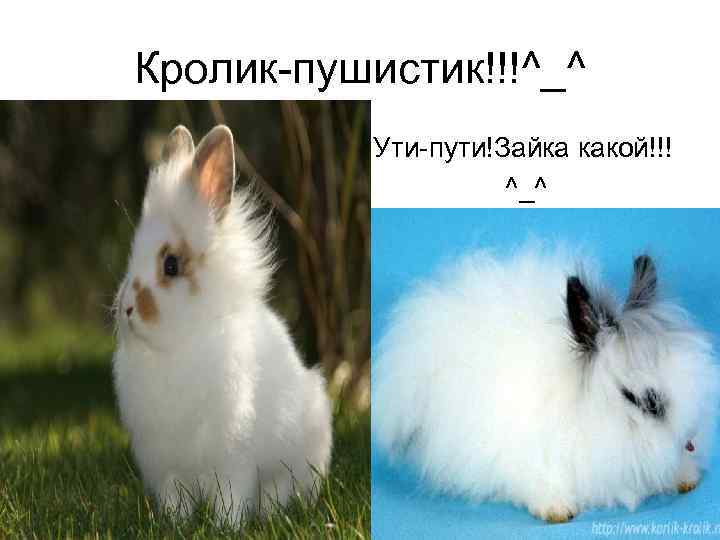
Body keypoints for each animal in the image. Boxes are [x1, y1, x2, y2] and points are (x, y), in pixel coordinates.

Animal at [112, 124, 333, 522]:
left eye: (171, 264)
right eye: (132, 257)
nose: (127, 308)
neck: (176, 345)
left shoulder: (233, 460)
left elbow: (231, 496)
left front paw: (225, 525)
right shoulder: (169, 468)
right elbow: (175, 498)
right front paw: (175, 523)